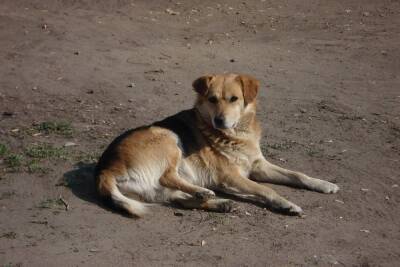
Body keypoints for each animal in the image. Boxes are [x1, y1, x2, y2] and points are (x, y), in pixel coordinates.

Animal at [95, 73, 340, 218]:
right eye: (212, 99)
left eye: (234, 99)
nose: (219, 121)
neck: (236, 134)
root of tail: (105, 169)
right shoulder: (230, 176)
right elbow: (266, 189)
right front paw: (286, 203)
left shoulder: (258, 166)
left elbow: (297, 175)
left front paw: (323, 184)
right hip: (168, 137)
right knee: (168, 176)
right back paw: (204, 192)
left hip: (158, 189)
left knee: (182, 200)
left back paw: (219, 203)